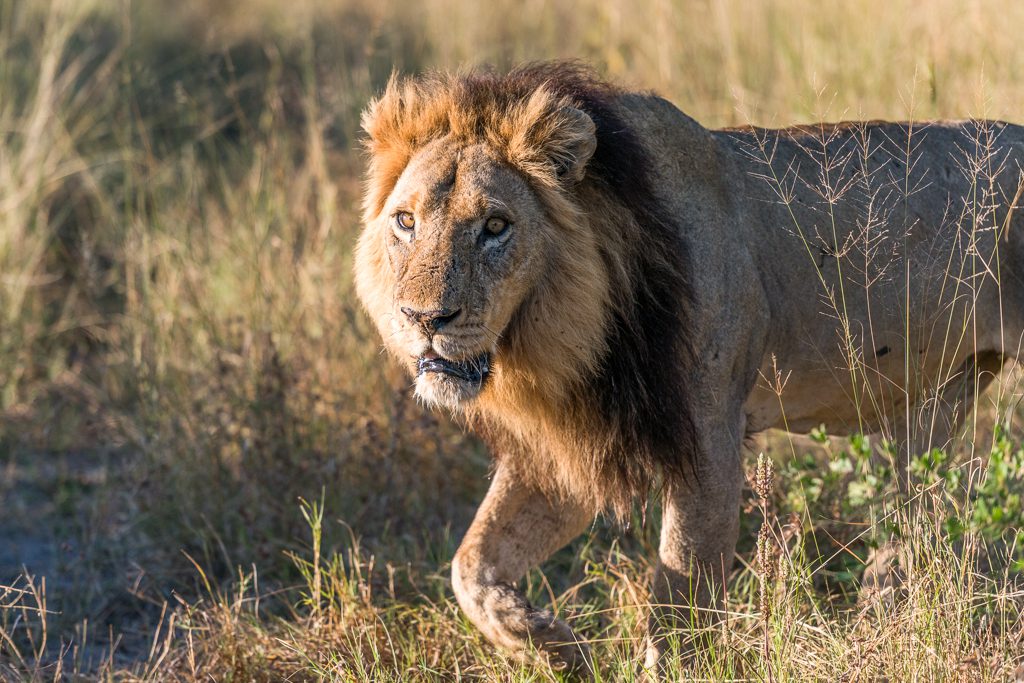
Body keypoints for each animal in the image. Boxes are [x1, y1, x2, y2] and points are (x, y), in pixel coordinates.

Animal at [354, 62, 1024, 678]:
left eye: (495, 226)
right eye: (405, 221)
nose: (422, 318)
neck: (574, 330)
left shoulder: (709, 438)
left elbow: (681, 599)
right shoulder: (568, 450)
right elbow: (471, 565)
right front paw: (553, 644)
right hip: (937, 404)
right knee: (917, 516)